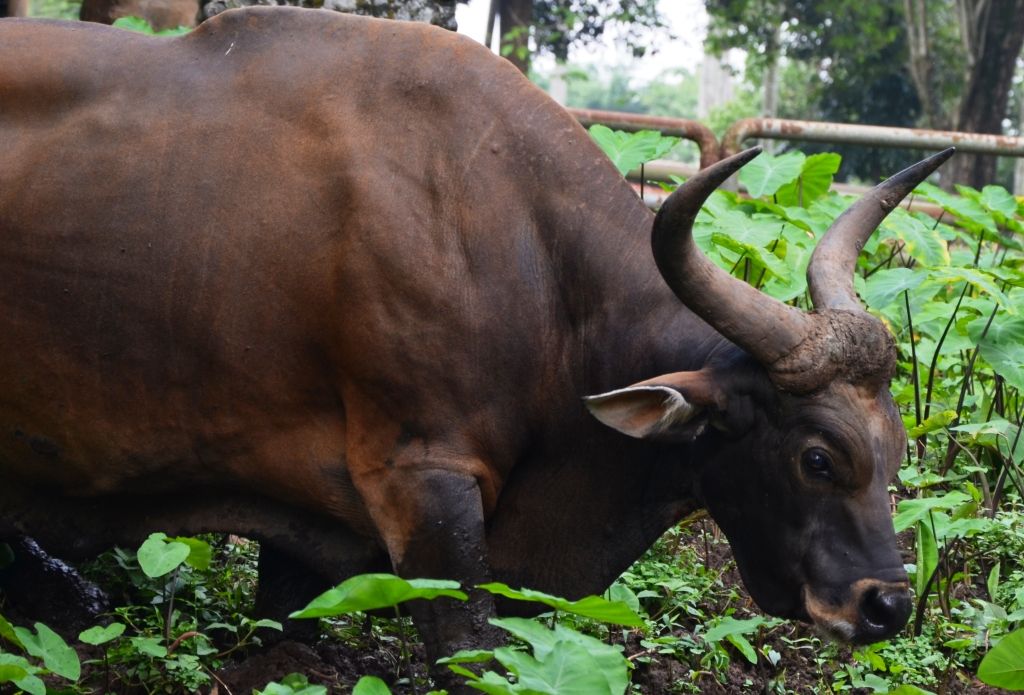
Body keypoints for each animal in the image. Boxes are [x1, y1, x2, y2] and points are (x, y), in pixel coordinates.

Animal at [0, 8, 942, 687]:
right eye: (818, 456)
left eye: (897, 448)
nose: (888, 604)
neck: (531, 264)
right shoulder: (424, 480)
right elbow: (468, 649)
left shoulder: (303, 526)